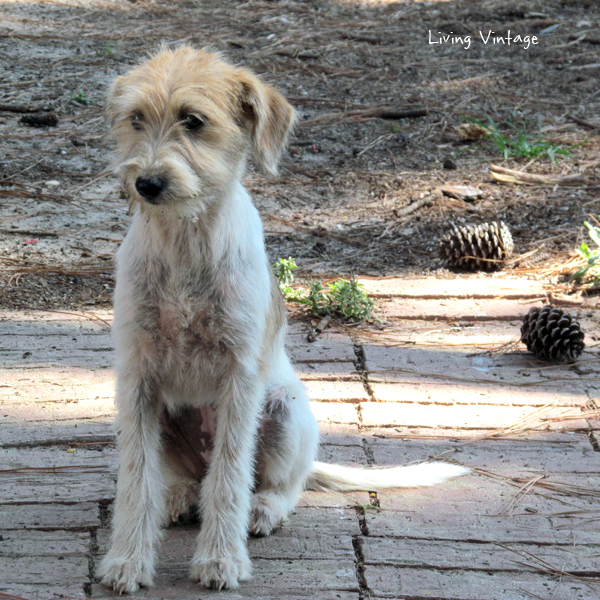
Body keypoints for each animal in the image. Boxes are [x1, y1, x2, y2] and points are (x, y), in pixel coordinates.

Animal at [97, 44, 468, 592]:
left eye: (194, 121)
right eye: (135, 119)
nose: (146, 183)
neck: (185, 243)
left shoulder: (239, 379)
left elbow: (230, 477)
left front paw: (221, 560)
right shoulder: (138, 377)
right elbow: (136, 480)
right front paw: (127, 560)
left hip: (286, 409)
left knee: (277, 486)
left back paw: (263, 509)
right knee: (189, 479)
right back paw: (180, 497)